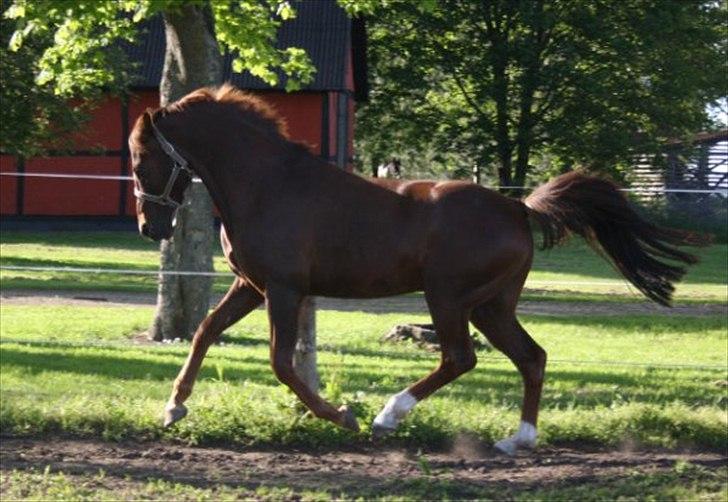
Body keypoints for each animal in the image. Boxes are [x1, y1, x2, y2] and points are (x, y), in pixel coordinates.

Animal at [128, 83, 704, 454]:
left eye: (139, 159)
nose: (149, 227)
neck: (266, 183)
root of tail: (518, 208)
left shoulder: (285, 290)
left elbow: (282, 363)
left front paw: (344, 416)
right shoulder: (251, 285)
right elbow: (204, 331)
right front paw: (173, 408)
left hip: (448, 297)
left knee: (461, 357)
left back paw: (388, 415)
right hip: (491, 305)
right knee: (531, 357)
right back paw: (517, 439)